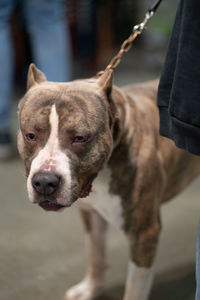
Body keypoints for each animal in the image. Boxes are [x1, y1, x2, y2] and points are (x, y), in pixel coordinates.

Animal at [18, 63, 200, 300]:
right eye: (30, 135)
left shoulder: (144, 234)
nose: (44, 182)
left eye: (80, 138)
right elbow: (95, 253)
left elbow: (134, 289)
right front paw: (90, 289)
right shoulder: (91, 215)